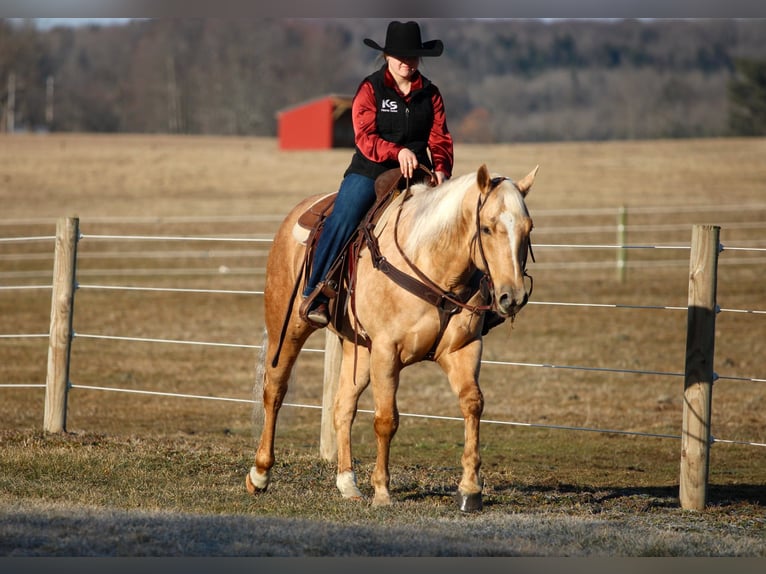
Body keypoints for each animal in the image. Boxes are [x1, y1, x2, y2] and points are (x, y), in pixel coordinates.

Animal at [249, 162, 536, 512]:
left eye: (528, 228)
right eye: (486, 228)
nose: (513, 297)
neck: (433, 265)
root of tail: (299, 210)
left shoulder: (463, 349)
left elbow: (472, 405)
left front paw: (470, 489)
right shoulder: (387, 351)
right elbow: (386, 420)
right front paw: (383, 491)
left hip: (357, 347)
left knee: (343, 406)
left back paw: (347, 482)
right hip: (287, 326)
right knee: (275, 390)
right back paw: (260, 473)